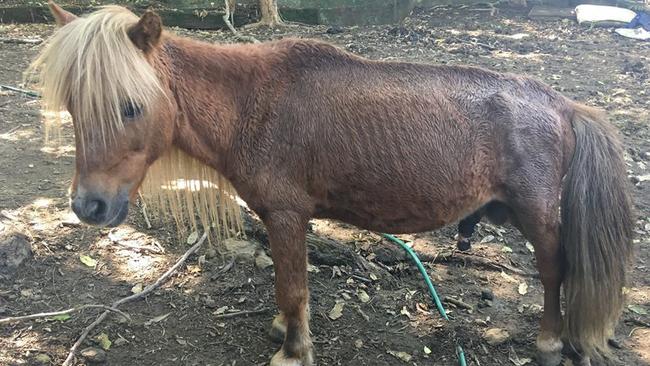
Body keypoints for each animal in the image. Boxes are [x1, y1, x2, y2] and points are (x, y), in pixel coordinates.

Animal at [31, 2, 632, 364]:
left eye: (130, 106)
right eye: (74, 106)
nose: (90, 206)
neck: (252, 104)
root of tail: (563, 105)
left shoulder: (288, 215)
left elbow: (295, 287)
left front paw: (293, 351)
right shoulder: (280, 221)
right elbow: (285, 284)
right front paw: (283, 329)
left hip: (538, 214)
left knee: (554, 271)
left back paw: (550, 340)